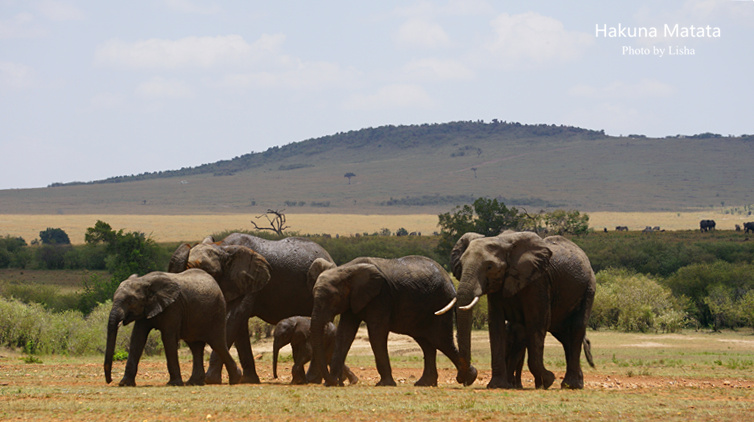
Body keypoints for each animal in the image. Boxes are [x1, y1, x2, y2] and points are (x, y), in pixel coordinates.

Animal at [104, 270, 239, 386]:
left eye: (131, 300)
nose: (110, 380)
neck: (144, 280)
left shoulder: (173, 307)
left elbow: (168, 338)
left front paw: (174, 384)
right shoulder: (146, 310)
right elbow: (137, 338)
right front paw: (124, 383)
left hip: (217, 313)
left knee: (218, 344)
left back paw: (236, 379)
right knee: (195, 347)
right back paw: (194, 383)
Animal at [172, 232, 336, 384]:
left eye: (210, 273)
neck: (223, 248)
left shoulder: (252, 280)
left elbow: (235, 317)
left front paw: (211, 380)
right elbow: (239, 326)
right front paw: (248, 380)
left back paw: (312, 380)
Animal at [306, 256, 476, 388]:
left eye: (332, 298)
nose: (334, 382)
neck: (346, 269)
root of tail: (451, 282)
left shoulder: (381, 297)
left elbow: (376, 333)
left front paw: (384, 384)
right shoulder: (353, 300)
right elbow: (344, 334)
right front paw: (332, 383)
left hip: (439, 303)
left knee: (441, 340)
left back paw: (468, 377)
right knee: (427, 343)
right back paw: (426, 383)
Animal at [446, 232, 592, 390]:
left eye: (490, 266)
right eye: (461, 265)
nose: (463, 379)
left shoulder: (538, 282)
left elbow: (537, 322)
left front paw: (548, 380)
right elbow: (495, 324)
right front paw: (497, 385)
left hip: (588, 288)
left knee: (576, 329)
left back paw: (572, 385)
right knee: (565, 337)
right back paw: (572, 383)